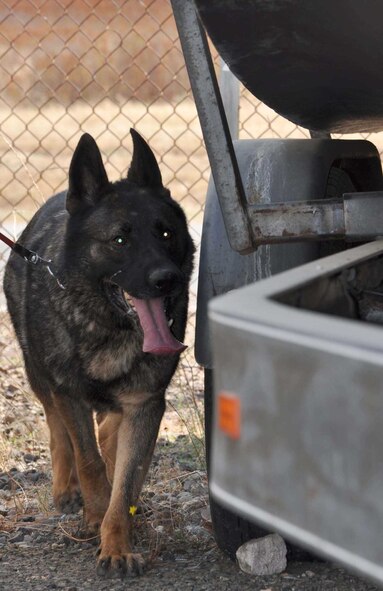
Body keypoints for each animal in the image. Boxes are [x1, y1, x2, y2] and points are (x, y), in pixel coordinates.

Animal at [3, 131, 195, 580]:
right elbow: (87, 459)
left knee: (109, 432)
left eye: (166, 234)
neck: (110, 328)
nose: (167, 280)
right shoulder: (69, 393)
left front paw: (117, 543)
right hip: (39, 373)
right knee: (57, 427)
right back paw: (66, 488)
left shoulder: (146, 404)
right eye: (119, 240)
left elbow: (126, 482)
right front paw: (93, 514)